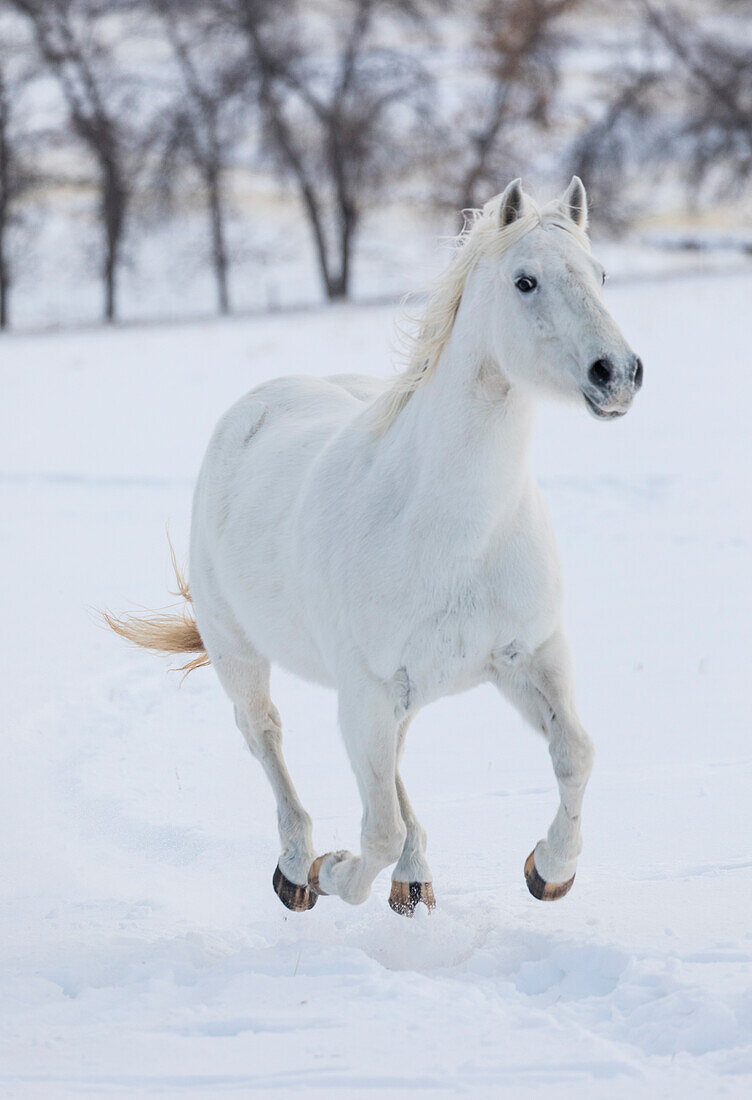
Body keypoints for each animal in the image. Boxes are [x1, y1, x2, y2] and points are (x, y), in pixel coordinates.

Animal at [108, 180, 642, 915]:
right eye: (525, 281)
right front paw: (332, 872)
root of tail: (259, 403)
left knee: (390, 772)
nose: (617, 373)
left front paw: (548, 868)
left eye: (601, 274)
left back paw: (412, 879)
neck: (458, 533)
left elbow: (576, 754)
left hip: (396, 695)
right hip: (240, 654)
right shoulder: (365, 691)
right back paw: (298, 867)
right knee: (265, 735)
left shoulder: (529, 657)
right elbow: (378, 829)